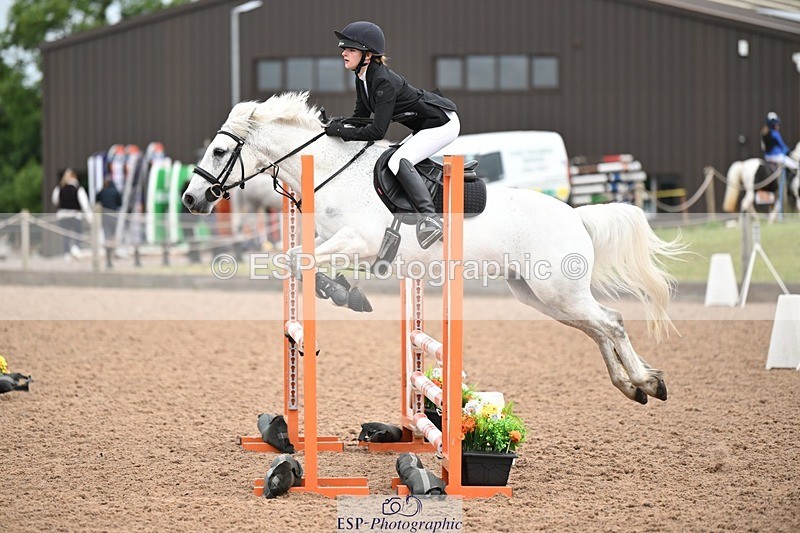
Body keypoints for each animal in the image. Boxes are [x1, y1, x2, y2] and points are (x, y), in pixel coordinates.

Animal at [182, 92, 685, 405]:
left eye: (219, 151)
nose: (190, 199)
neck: (333, 172)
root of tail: (576, 214)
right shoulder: (335, 241)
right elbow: (301, 260)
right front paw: (344, 292)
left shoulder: (360, 242)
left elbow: (295, 259)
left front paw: (345, 293)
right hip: (539, 295)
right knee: (598, 327)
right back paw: (633, 385)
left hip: (557, 290)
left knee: (611, 322)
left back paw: (647, 381)